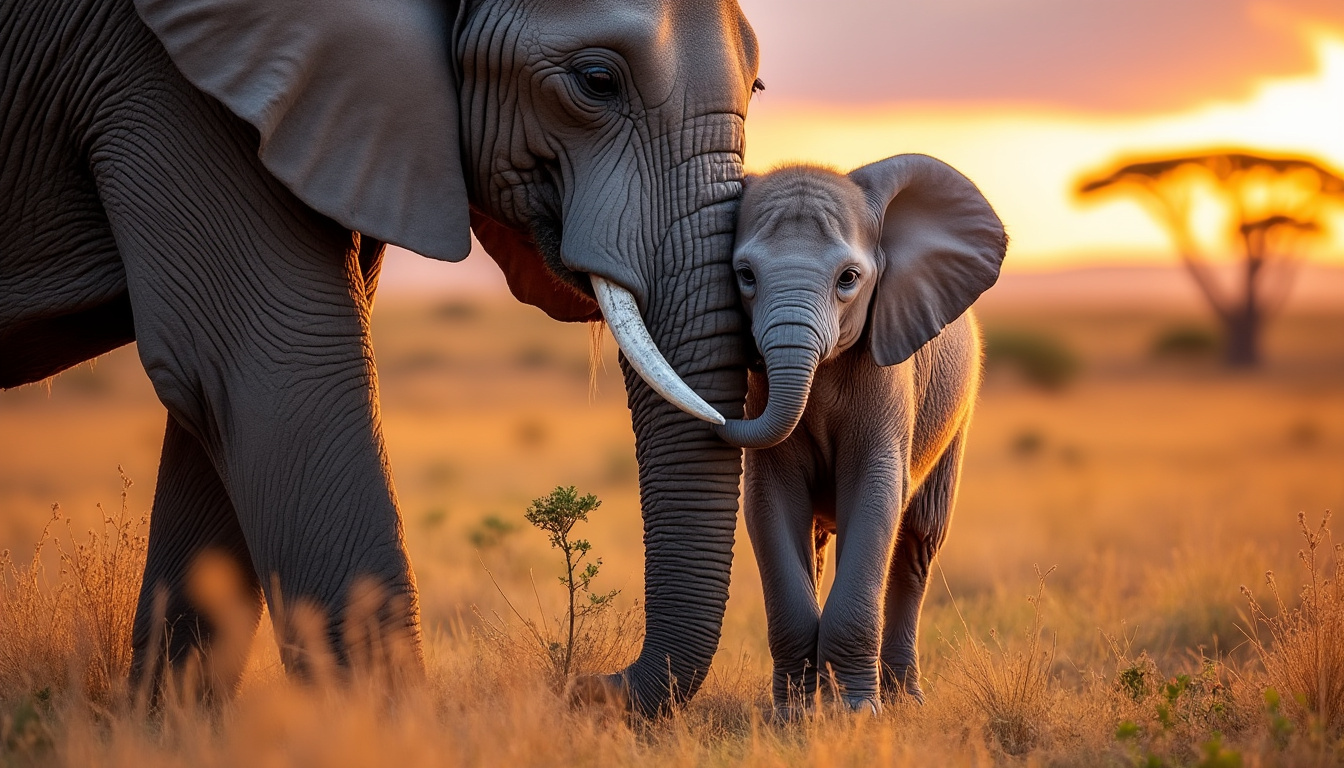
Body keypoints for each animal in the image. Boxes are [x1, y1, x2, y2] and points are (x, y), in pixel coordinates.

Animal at [0, 0, 761, 714]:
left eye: (757, 86)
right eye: (597, 81)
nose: (585, 686)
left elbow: (217, 409)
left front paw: (172, 727)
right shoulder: (168, 82)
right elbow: (267, 376)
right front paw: (388, 732)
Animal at [713, 156, 1007, 713]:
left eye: (849, 278)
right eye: (744, 276)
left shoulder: (887, 379)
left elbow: (875, 495)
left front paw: (856, 715)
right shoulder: (762, 395)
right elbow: (769, 501)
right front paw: (794, 714)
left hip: (957, 417)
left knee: (917, 546)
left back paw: (904, 699)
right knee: (817, 544)